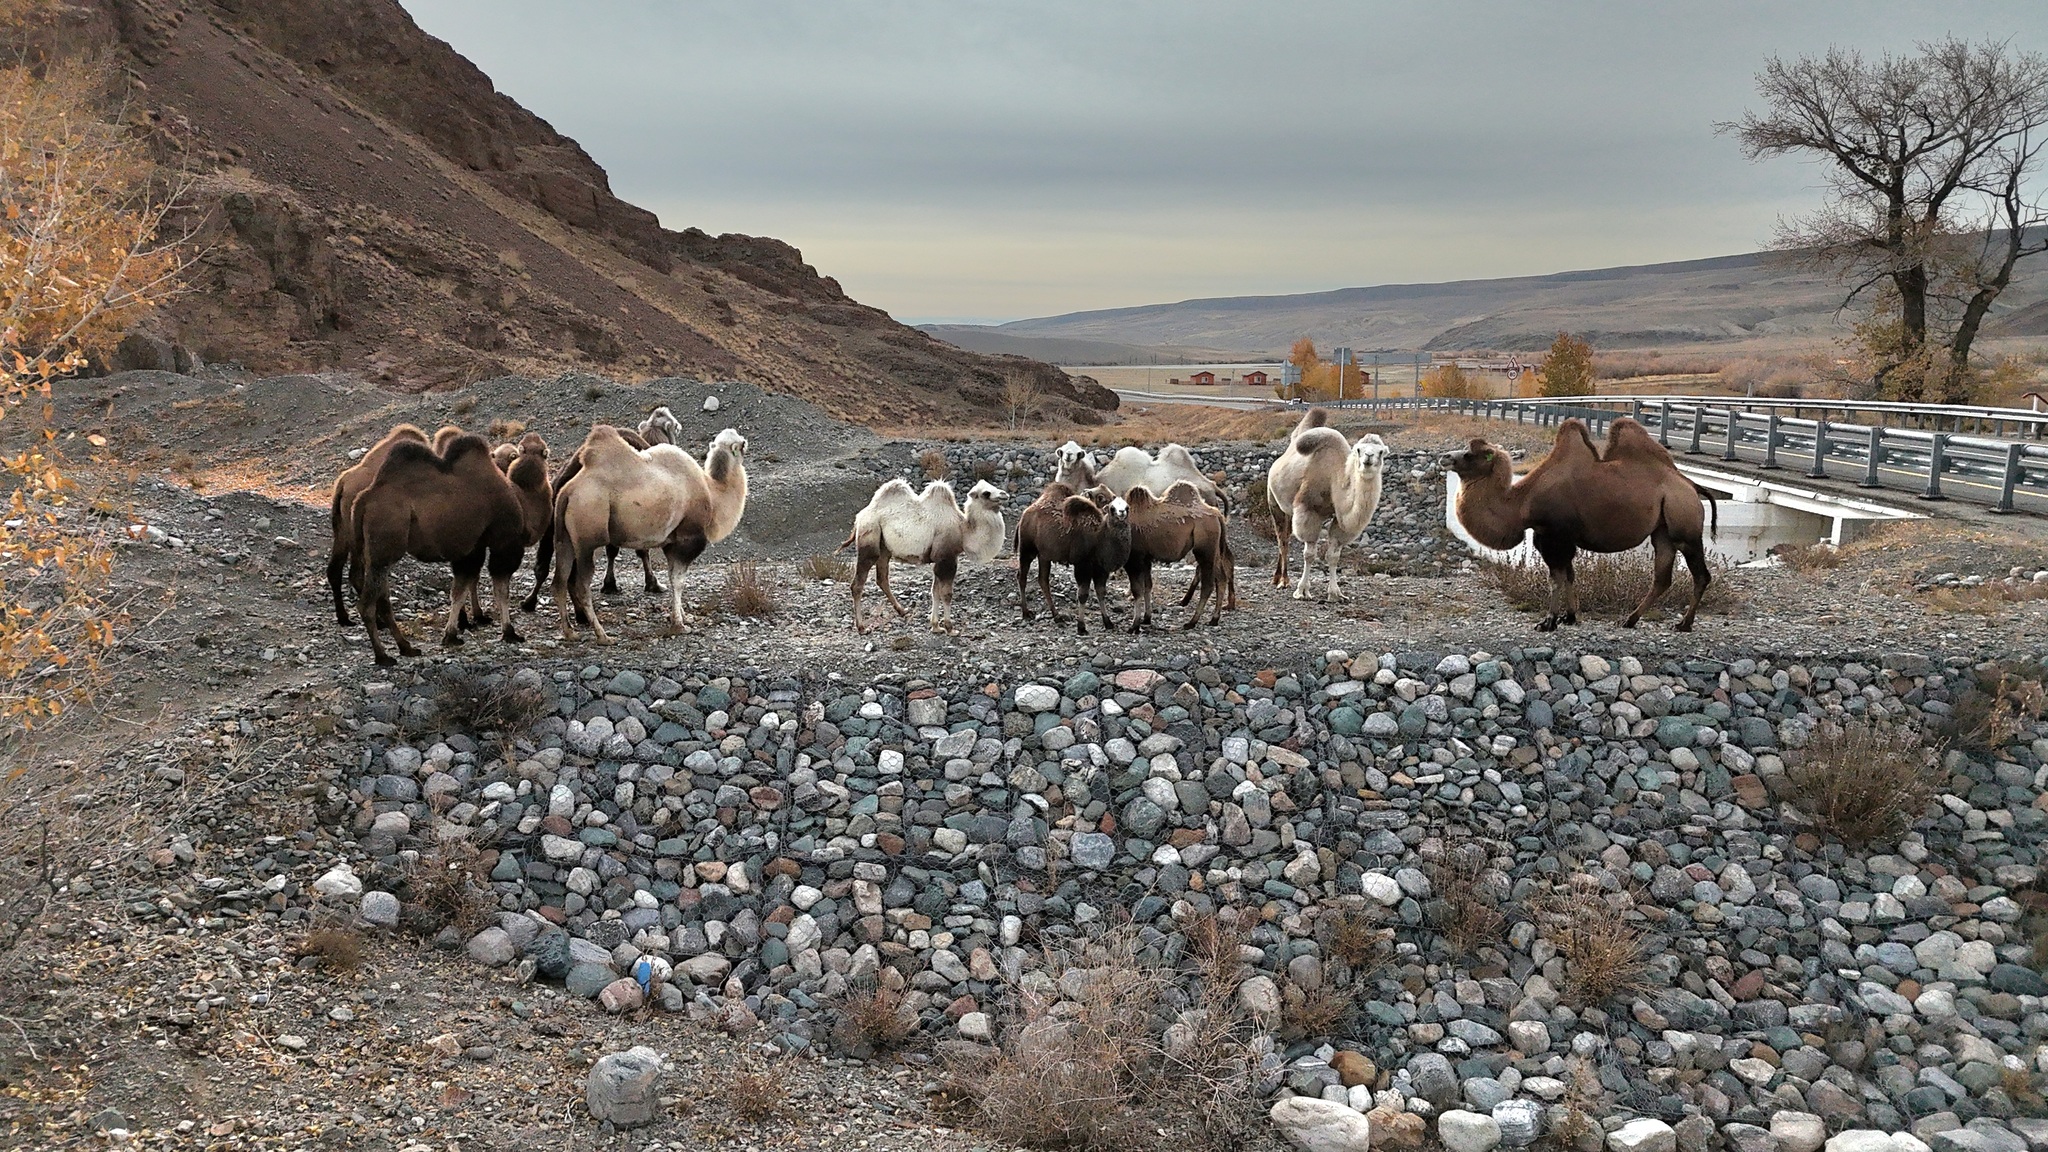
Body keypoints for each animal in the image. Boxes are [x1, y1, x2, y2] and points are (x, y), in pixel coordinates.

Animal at [327, 422, 464, 623]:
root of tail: (342, 484)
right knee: (358, 574)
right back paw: (378, 620)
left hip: (343, 530)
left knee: (335, 569)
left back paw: (345, 618)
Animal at [352, 430, 548, 664]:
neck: (522, 501)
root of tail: (363, 500)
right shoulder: (505, 543)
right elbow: (500, 590)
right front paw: (509, 632)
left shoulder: (472, 547)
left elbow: (460, 590)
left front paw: (452, 634)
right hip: (384, 547)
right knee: (368, 604)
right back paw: (383, 656)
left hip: (375, 553)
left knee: (382, 600)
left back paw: (406, 648)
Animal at [1449, 412, 1720, 627]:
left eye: (1469, 454)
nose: (1445, 458)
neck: (1521, 504)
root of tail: (1692, 486)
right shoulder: (1558, 538)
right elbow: (1569, 575)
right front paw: (1569, 617)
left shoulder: (1553, 535)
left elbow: (1555, 579)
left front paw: (1548, 621)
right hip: (1662, 532)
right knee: (1662, 577)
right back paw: (1630, 620)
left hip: (1686, 529)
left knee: (1700, 575)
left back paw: (1684, 624)